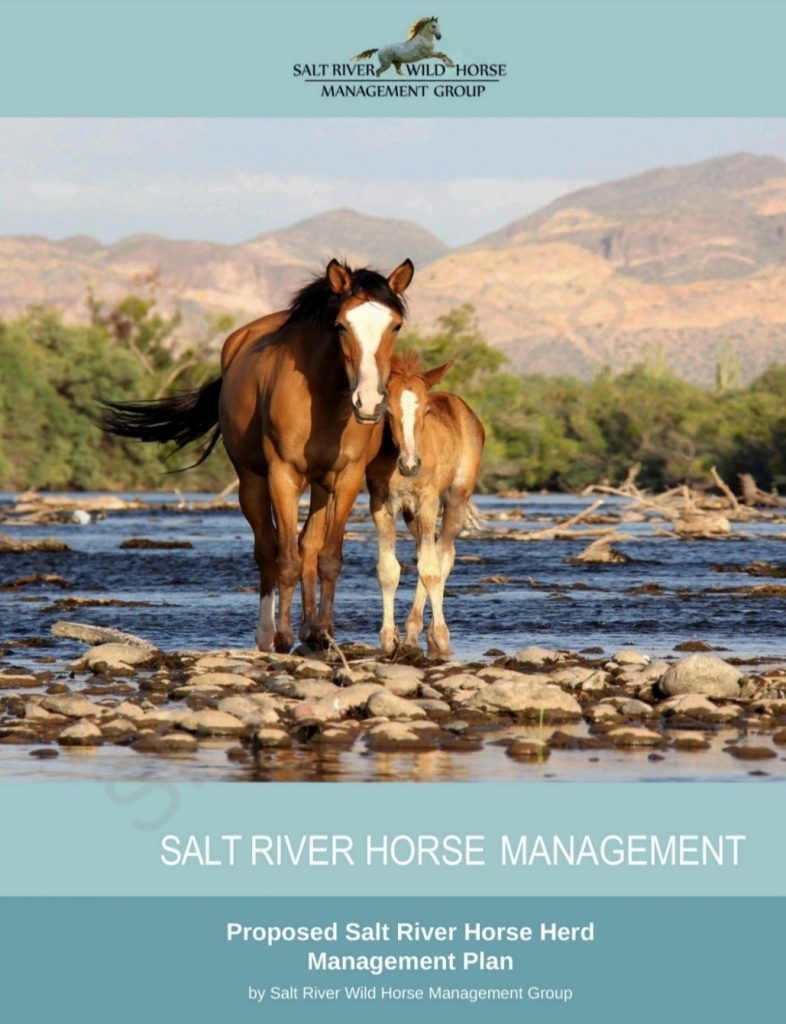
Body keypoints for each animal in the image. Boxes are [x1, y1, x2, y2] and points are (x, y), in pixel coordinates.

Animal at [100, 258, 414, 653]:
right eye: (341, 325)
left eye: (396, 325)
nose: (369, 403)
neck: (324, 397)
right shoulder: (283, 475)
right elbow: (285, 560)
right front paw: (283, 636)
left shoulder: (347, 478)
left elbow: (327, 558)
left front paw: (324, 632)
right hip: (252, 481)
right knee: (267, 550)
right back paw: (267, 634)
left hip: (320, 486)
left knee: (308, 546)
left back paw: (311, 630)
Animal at [366, 352, 485, 657]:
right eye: (388, 410)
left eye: (427, 410)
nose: (410, 465)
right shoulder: (381, 504)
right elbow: (389, 570)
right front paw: (388, 638)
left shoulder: (428, 501)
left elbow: (431, 569)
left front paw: (441, 637)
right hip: (411, 515)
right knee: (425, 552)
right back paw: (412, 633)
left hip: (456, 498)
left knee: (443, 555)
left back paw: (432, 635)